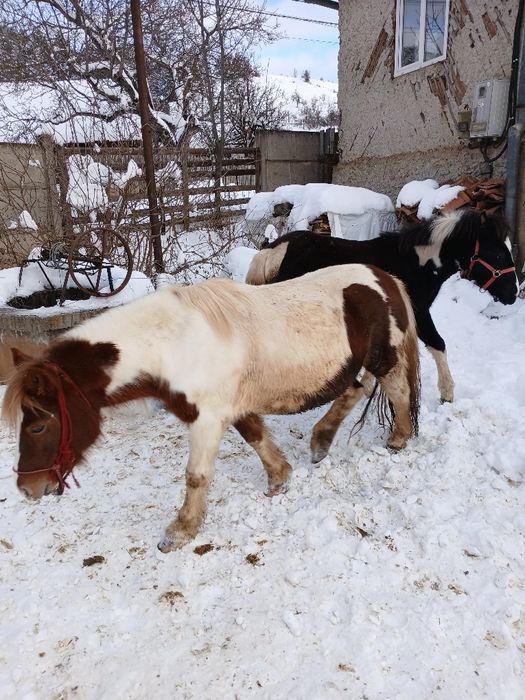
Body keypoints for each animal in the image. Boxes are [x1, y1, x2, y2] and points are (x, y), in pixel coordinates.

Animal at [3, 264, 420, 552]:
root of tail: (384, 277)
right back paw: (321, 441)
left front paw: (180, 531)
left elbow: (196, 476)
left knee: (397, 391)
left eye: (38, 426)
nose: (27, 487)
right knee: (356, 391)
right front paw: (279, 479)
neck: (171, 345)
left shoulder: (206, 420)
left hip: (384, 359)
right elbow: (257, 438)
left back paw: (398, 440)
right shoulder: (229, 410)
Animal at [246, 209, 518, 402]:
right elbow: (436, 343)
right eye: (498, 254)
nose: (514, 293)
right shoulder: (417, 313)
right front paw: (447, 392)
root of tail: (274, 250)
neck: (415, 264)